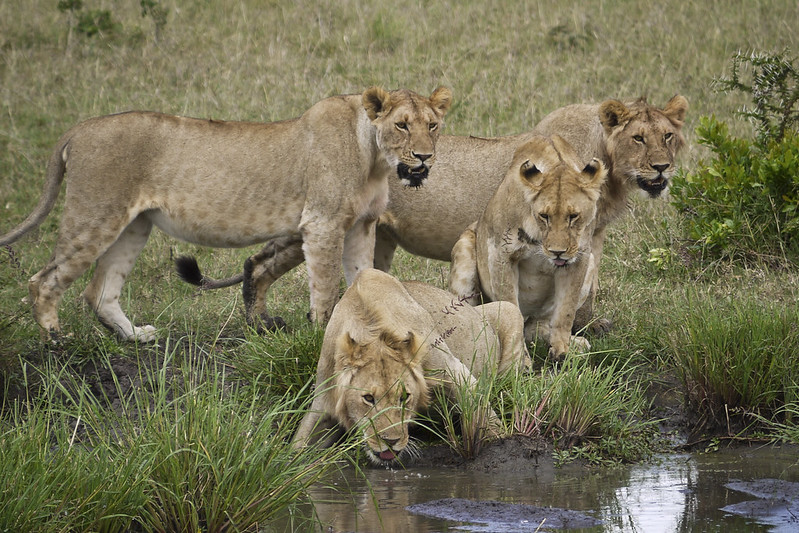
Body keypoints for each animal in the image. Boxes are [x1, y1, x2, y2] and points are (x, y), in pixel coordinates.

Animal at [0, 85, 450, 338]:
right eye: (402, 125)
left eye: (433, 125)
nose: (424, 158)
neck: (374, 158)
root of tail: (80, 127)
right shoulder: (322, 224)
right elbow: (325, 289)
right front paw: (322, 333)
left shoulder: (361, 225)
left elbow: (364, 280)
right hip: (95, 215)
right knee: (43, 281)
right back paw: (56, 340)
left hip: (134, 226)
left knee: (99, 292)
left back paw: (136, 337)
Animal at [175, 93, 688, 330]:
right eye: (638, 137)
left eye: (668, 136)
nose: (662, 168)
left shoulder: (589, 236)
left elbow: (586, 284)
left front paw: (587, 325)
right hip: (326, 220)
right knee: (260, 261)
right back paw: (261, 324)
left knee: (259, 262)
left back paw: (261, 325)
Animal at [294, 268, 532, 464]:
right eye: (368, 398)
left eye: (404, 397)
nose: (390, 441)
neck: (372, 330)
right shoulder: (324, 400)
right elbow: (298, 446)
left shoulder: (455, 374)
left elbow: (485, 417)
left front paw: (501, 448)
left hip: (509, 309)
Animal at [450, 134, 608, 358]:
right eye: (544, 216)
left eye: (573, 216)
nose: (557, 252)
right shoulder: (501, 255)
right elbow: (510, 306)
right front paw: (522, 359)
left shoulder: (580, 258)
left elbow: (566, 312)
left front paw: (562, 351)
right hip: (464, 251)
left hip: (590, 264)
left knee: (534, 328)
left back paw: (577, 342)